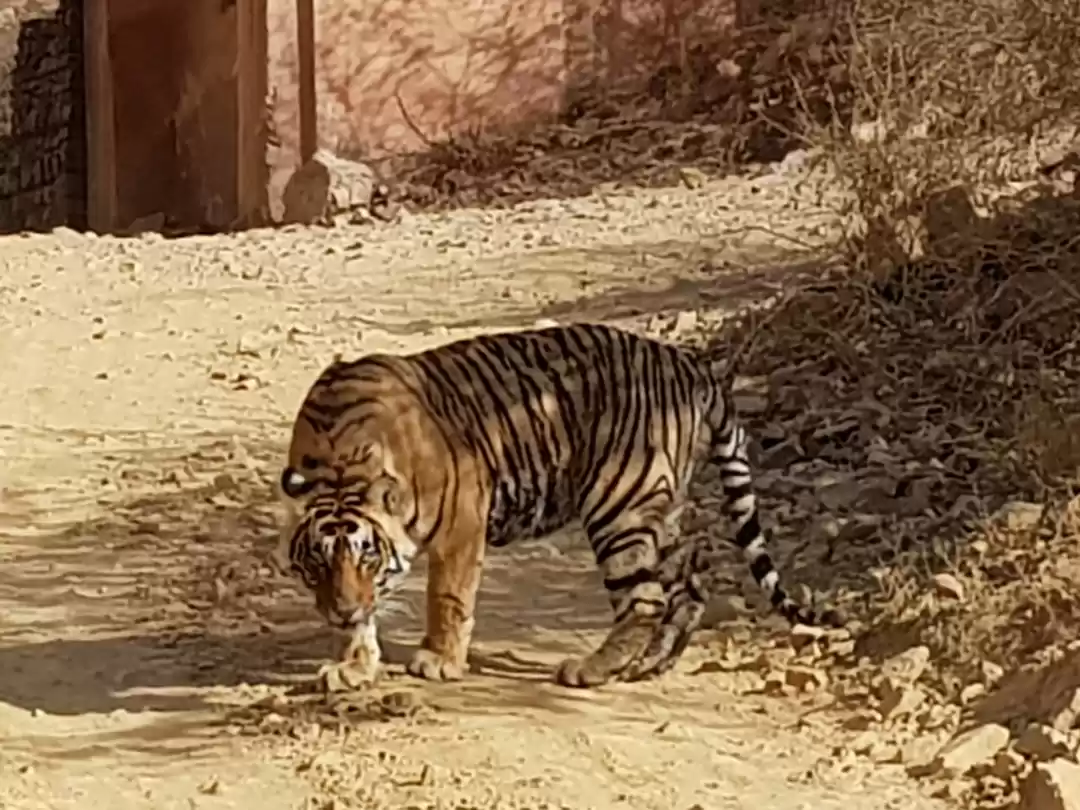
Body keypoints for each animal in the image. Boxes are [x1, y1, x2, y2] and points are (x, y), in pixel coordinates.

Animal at [274, 322, 842, 689]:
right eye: (318, 562)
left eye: (368, 556)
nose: (342, 610)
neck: (340, 461)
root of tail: (688, 364)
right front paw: (352, 664)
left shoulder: (462, 521)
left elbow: (447, 597)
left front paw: (437, 659)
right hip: (660, 512)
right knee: (686, 587)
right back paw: (647, 666)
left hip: (619, 504)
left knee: (645, 599)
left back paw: (589, 671)